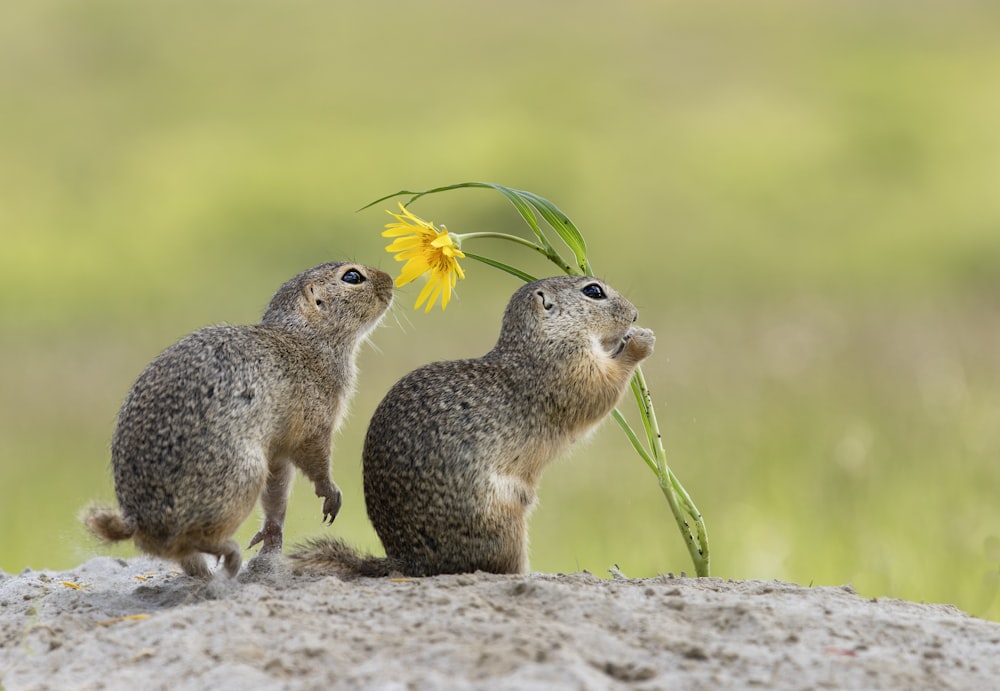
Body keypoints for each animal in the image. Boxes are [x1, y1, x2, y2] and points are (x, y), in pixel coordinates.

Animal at [81, 262, 390, 576]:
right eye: (352, 276)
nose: (390, 280)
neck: (305, 338)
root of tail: (138, 520)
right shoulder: (314, 426)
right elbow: (317, 464)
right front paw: (330, 494)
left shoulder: (276, 452)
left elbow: (276, 497)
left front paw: (270, 539)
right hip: (245, 476)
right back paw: (229, 554)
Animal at [290, 276, 652, 580]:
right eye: (593, 291)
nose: (635, 315)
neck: (538, 341)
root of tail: (409, 561)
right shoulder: (568, 370)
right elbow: (601, 390)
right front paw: (639, 343)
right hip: (505, 525)